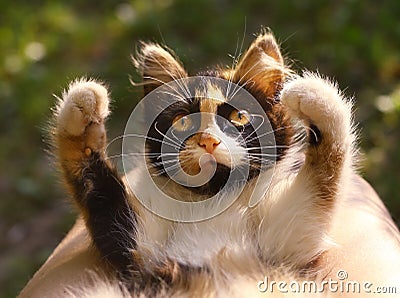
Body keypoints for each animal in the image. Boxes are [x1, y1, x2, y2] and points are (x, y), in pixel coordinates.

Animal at [51, 30, 358, 296]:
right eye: (181, 121)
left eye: (239, 117)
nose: (209, 141)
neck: (211, 200)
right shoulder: (137, 246)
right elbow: (99, 192)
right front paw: (80, 117)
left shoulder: (286, 240)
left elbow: (320, 184)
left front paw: (317, 97)